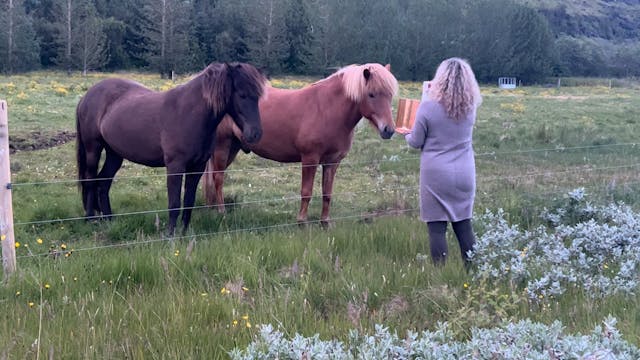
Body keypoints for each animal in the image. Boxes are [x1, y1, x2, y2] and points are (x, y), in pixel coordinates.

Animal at [77, 63, 268, 235]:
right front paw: (170, 235)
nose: (255, 134)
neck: (189, 114)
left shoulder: (197, 167)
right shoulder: (175, 166)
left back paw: (109, 219)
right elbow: (174, 203)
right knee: (90, 179)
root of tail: (86, 96)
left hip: (114, 153)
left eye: (258, 97)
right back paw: (90, 218)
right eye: (242, 95)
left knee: (103, 182)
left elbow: (189, 201)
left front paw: (184, 232)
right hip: (93, 148)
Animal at [202, 62, 398, 225]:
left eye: (390, 95)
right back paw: (221, 211)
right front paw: (301, 222)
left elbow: (327, 193)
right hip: (223, 146)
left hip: (233, 148)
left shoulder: (332, 162)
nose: (388, 130)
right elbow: (306, 192)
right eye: (371, 94)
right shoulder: (310, 159)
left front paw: (325, 223)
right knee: (218, 178)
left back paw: (211, 208)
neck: (327, 109)